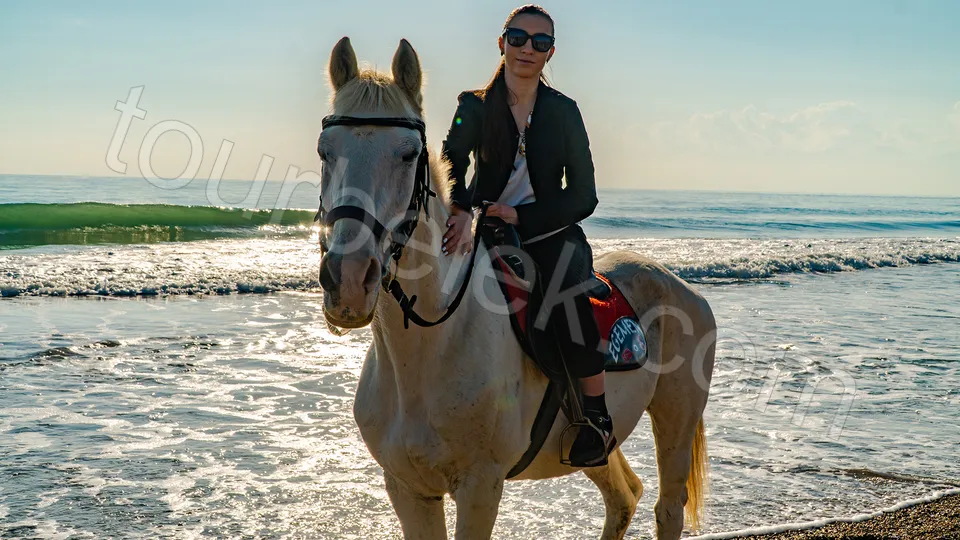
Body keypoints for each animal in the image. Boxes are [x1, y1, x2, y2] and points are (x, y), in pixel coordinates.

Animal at [315, 36, 717, 540]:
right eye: (325, 151)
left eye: (409, 154)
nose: (349, 280)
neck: (433, 346)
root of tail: (679, 285)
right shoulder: (407, 489)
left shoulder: (480, 488)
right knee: (624, 495)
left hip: (676, 418)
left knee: (667, 507)